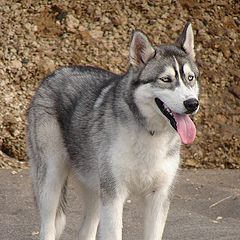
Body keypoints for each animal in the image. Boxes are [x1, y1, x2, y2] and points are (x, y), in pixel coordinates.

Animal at [27, 23, 201, 240]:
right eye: (166, 79)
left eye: (190, 78)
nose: (192, 104)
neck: (149, 133)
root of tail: (53, 74)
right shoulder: (114, 196)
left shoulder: (158, 197)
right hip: (52, 180)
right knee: (48, 225)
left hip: (95, 190)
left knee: (86, 231)